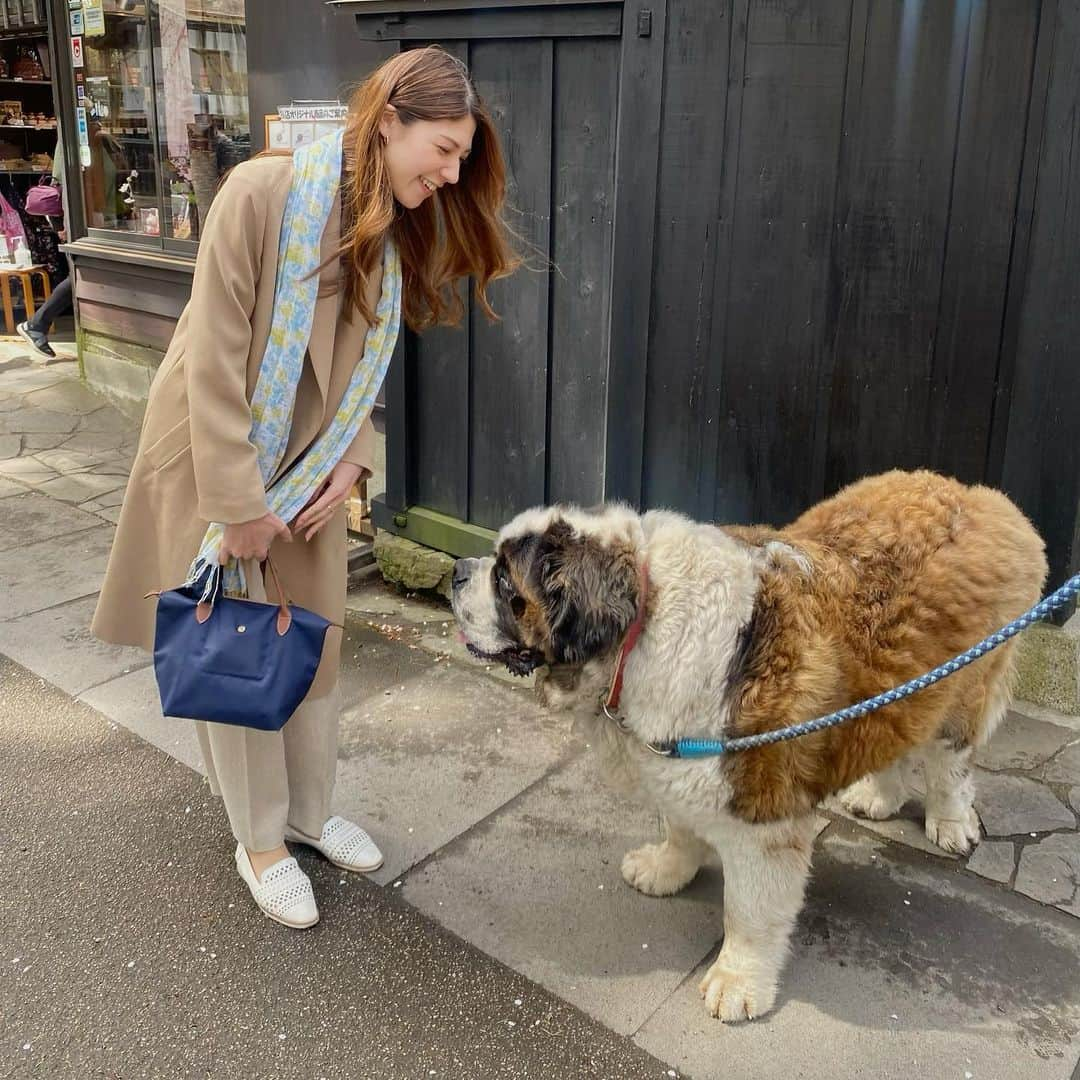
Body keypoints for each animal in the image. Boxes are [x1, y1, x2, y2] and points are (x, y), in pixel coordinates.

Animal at [449, 470, 1045, 1019]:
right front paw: (667, 868)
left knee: (950, 764)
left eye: (505, 581)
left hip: (963, 686)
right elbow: (680, 826)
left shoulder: (762, 816)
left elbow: (750, 911)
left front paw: (738, 982)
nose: (457, 571)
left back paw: (950, 822)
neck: (640, 625)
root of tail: (979, 495)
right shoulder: (677, 760)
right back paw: (878, 796)